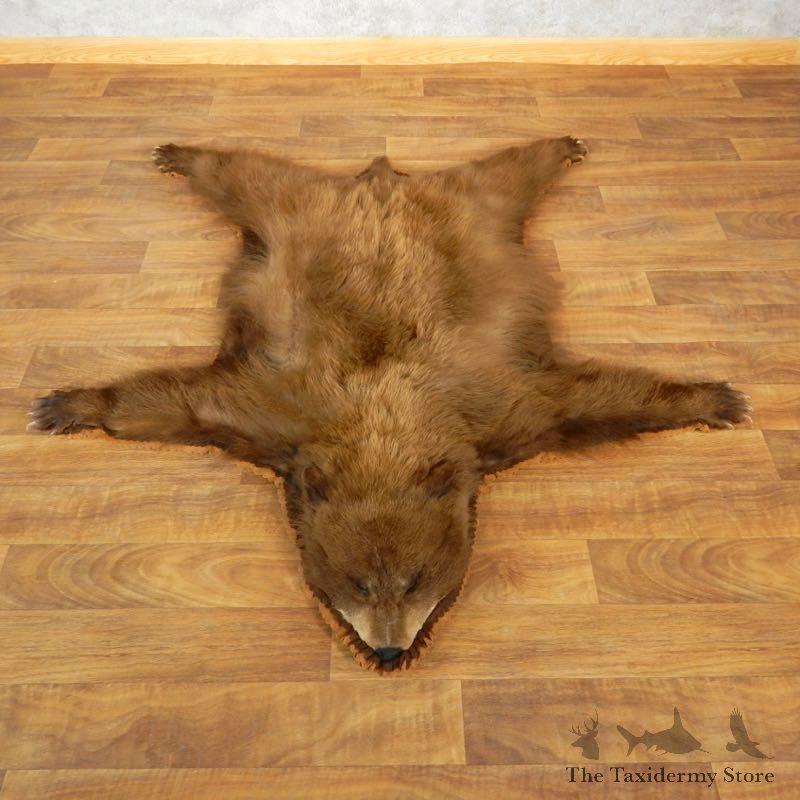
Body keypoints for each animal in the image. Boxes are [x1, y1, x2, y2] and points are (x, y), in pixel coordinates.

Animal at [28, 136, 752, 671]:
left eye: (414, 579)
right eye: (352, 582)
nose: (387, 650)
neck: (384, 425)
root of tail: (382, 180)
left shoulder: (503, 407)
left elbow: (598, 399)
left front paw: (714, 396)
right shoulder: (272, 411)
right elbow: (171, 400)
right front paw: (67, 403)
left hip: (469, 208)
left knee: (506, 172)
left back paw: (563, 144)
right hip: (302, 211)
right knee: (247, 176)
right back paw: (178, 152)